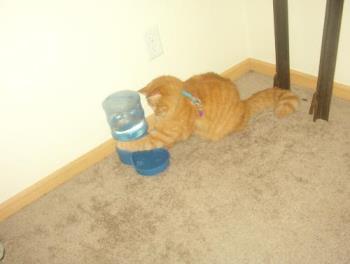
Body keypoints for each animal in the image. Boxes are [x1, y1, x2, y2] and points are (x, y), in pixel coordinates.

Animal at [117, 72, 298, 152]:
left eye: (151, 104)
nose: (154, 112)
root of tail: (243, 104)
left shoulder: (163, 136)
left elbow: (140, 142)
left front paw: (121, 143)